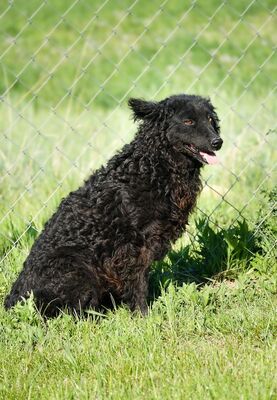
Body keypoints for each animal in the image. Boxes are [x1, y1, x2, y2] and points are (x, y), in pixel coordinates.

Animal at [4, 94, 222, 316]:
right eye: (188, 121)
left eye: (210, 120)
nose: (218, 142)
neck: (152, 167)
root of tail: (13, 299)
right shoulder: (133, 246)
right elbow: (138, 284)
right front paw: (143, 316)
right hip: (78, 269)